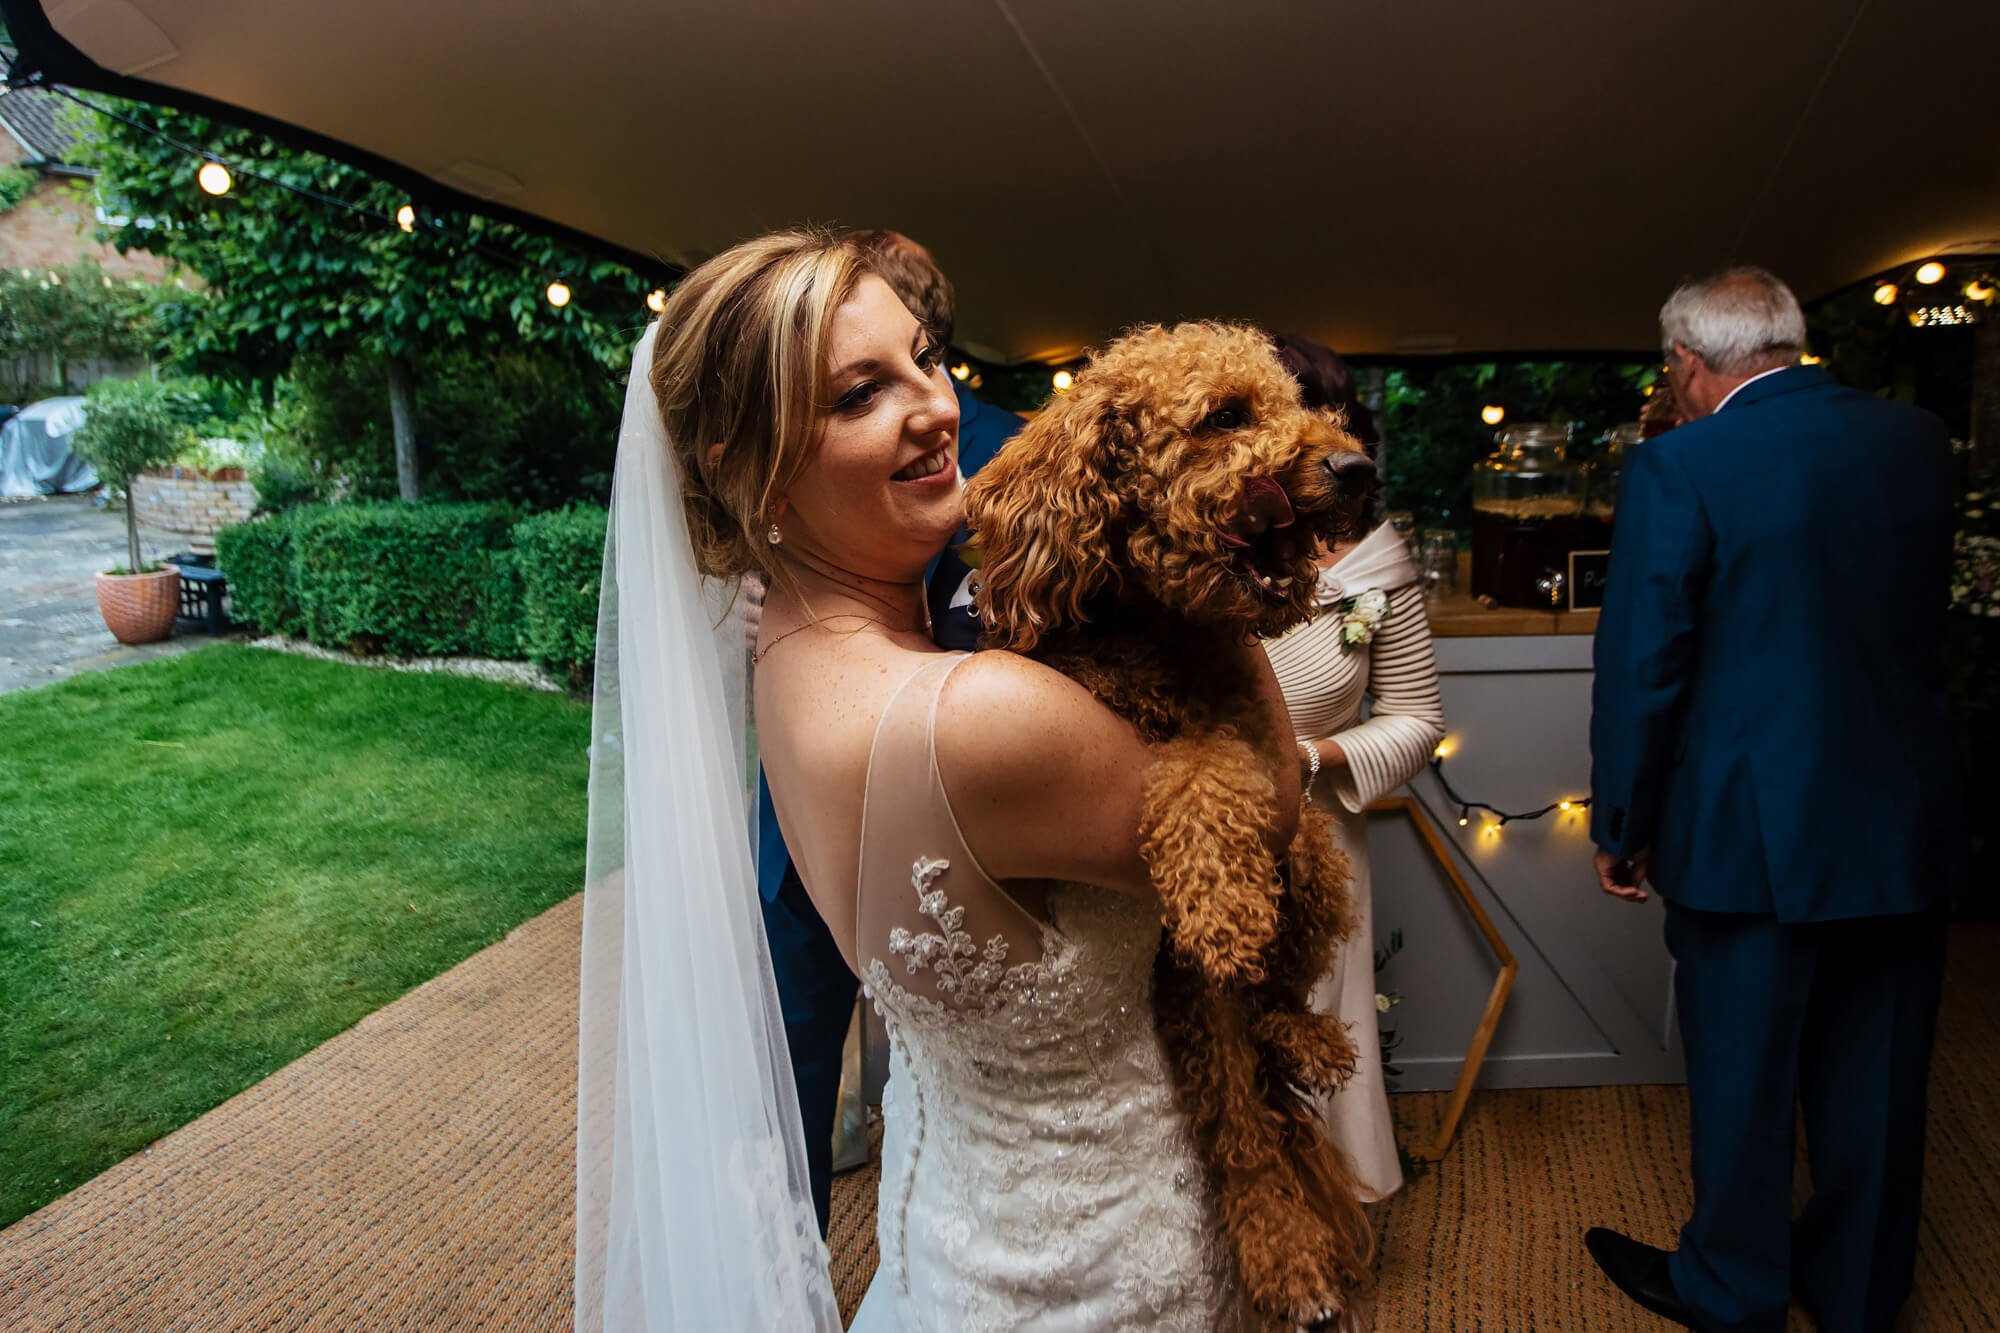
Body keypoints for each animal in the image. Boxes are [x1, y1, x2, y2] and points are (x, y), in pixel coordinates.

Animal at [964, 320, 1376, 1320]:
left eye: (1297, 402)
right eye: (1225, 417)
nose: (1357, 466)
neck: (1153, 624)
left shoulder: (1247, 743)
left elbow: (1203, 774)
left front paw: (1221, 907)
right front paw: (1217, 905)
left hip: (1309, 862)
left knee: (1275, 994)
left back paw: (1304, 1035)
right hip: (1196, 1009)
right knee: (1241, 1128)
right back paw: (1284, 1253)